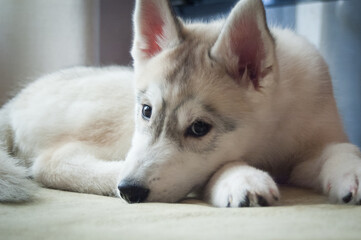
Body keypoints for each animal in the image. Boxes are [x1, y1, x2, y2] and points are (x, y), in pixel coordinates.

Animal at [0, 0, 360, 206]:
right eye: (146, 111)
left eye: (199, 128)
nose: (129, 191)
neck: (274, 132)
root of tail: (12, 105)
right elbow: (221, 166)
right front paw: (241, 178)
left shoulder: (311, 140)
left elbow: (342, 148)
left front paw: (352, 171)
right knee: (50, 163)